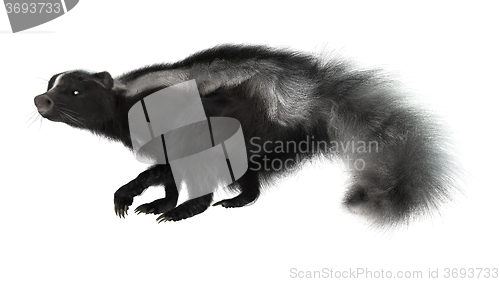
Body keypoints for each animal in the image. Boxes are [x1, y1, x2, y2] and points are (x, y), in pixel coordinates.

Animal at [33, 44, 458, 225]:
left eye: (74, 92)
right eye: (52, 84)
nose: (41, 99)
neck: (127, 98)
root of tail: (311, 95)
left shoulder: (181, 124)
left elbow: (173, 168)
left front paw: (145, 199)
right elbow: (166, 172)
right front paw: (156, 201)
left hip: (250, 124)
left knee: (223, 168)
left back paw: (199, 208)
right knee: (246, 174)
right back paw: (236, 199)